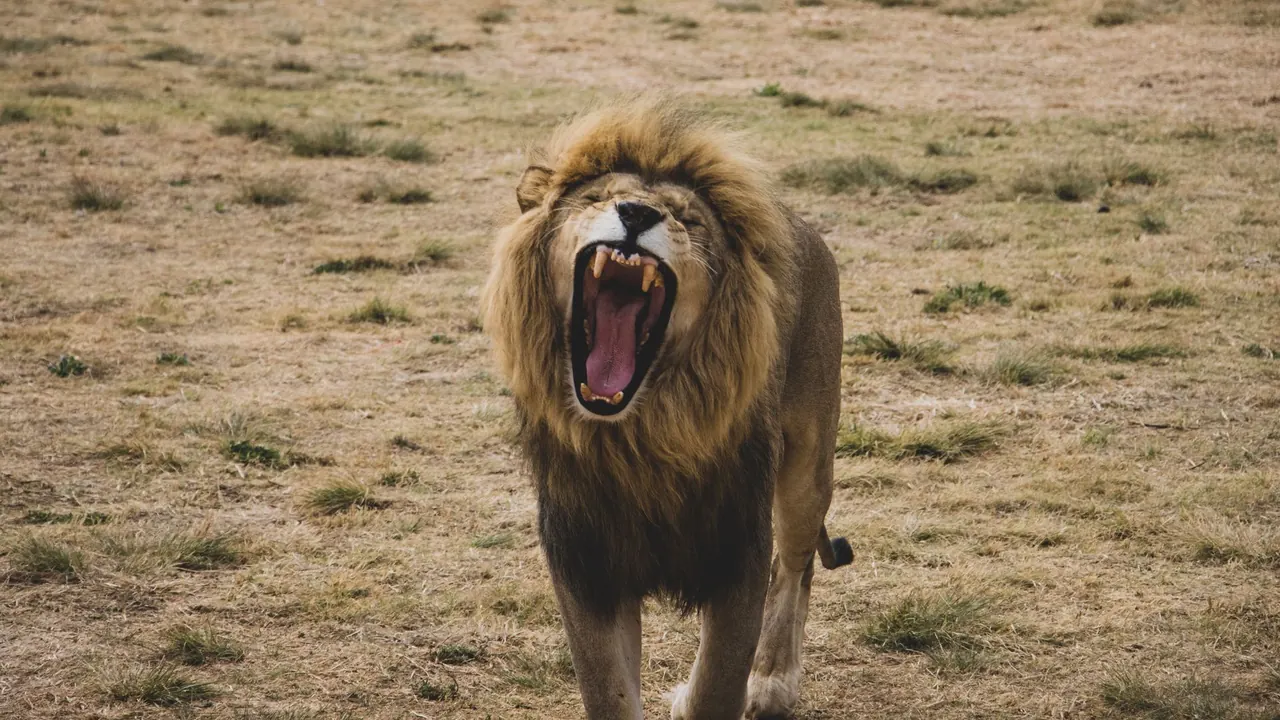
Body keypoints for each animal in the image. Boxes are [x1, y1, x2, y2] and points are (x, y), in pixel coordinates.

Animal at [482, 98, 852, 720]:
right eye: (596, 198)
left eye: (688, 219)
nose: (635, 212)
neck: (642, 436)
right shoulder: (587, 563)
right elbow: (608, 692)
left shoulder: (736, 550)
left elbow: (717, 685)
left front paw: (734, 687)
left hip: (806, 464)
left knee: (794, 567)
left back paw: (772, 681)